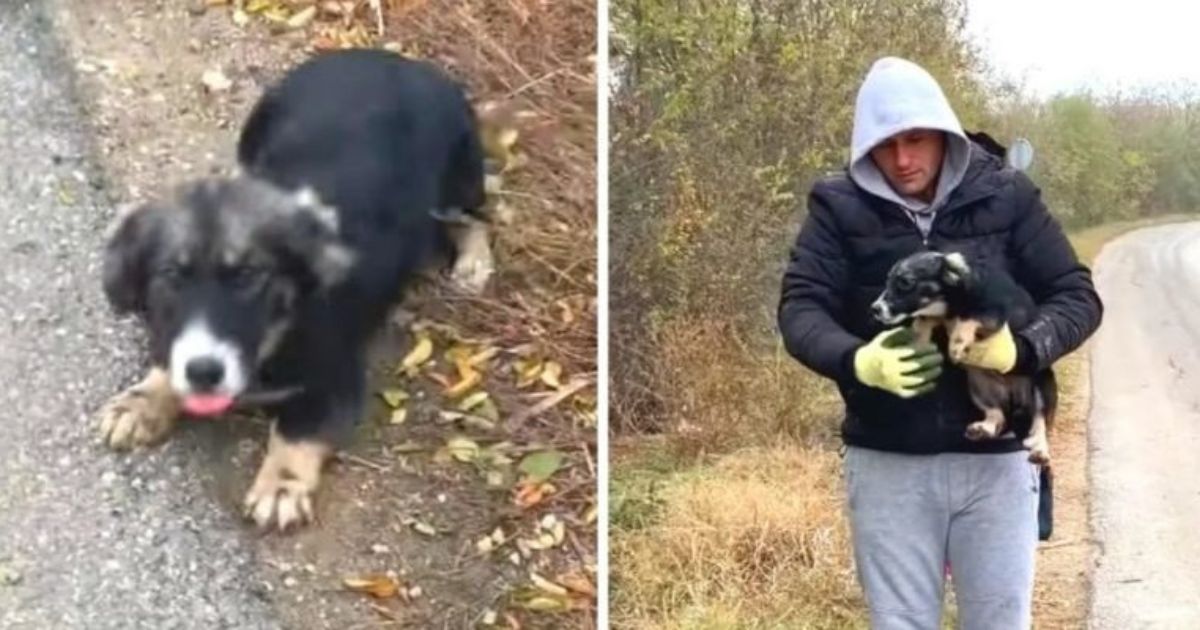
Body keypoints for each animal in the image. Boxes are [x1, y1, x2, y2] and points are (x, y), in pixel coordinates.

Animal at [94, 50, 492, 530]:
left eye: (250, 276)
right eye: (171, 275)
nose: (205, 372)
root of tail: (392, 58)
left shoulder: (335, 384)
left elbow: (295, 432)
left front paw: (280, 486)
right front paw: (143, 400)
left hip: (460, 178)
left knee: (474, 218)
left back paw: (475, 262)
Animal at [868, 249, 1056, 460]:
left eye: (906, 282)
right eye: (888, 280)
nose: (874, 309)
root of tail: (1013, 396)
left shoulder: (993, 313)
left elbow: (968, 317)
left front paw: (955, 346)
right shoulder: (941, 315)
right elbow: (924, 318)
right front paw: (918, 339)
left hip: (1042, 387)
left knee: (1040, 420)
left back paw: (1040, 449)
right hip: (978, 388)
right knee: (998, 415)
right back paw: (982, 429)